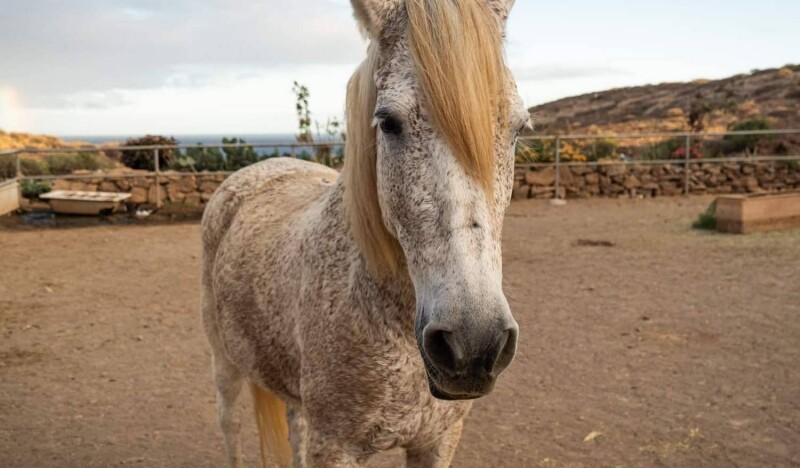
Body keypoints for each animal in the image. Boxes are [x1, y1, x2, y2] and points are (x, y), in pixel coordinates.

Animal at [201, 0, 530, 466]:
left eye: (519, 127)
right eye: (388, 122)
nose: (475, 343)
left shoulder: (439, 440)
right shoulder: (335, 446)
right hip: (224, 361)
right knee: (230, 427)